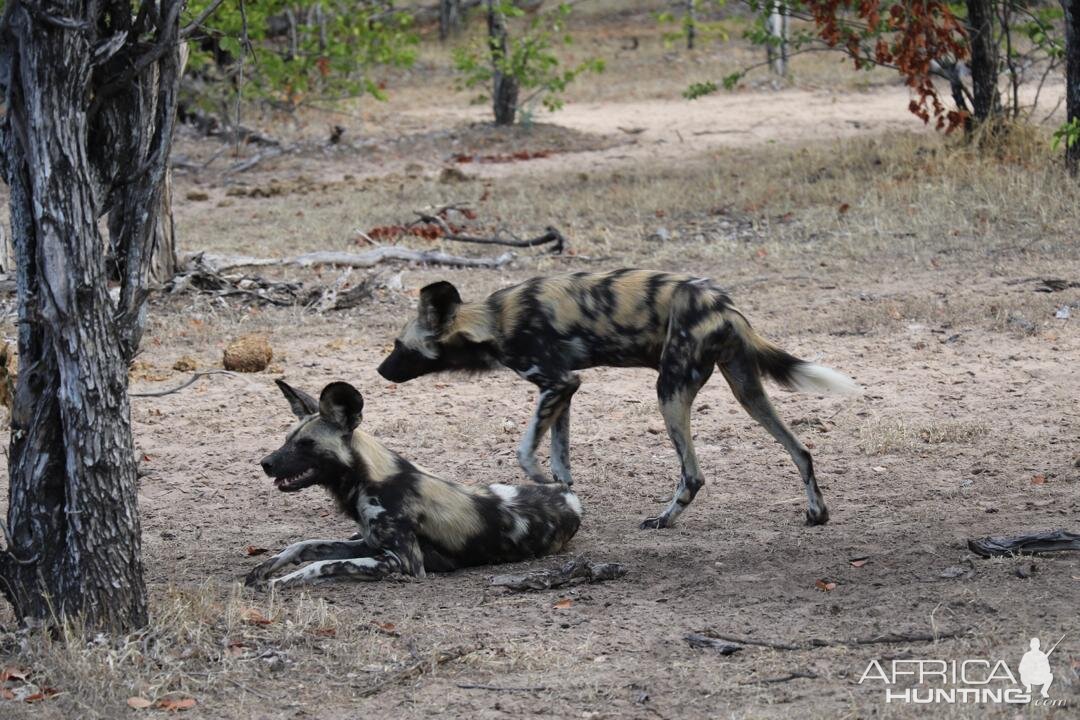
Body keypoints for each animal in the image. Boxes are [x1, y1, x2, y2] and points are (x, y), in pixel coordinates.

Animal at [247, 379, 583, 587]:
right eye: (287, 439)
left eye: (306, 444)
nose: (265, 463)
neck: (368, 482)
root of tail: (567, 494)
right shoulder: (368, 542)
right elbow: (303, 545)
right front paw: (264, 569)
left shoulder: (403, 562)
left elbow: (322, 565)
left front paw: (280, 582)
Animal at [380, 268, 859, 528]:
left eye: (399, 346)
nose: (380, 370)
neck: (495, 321)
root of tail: (723, 306)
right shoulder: (563, 390)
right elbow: (561, 458)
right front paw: (561, 494)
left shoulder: (557, 383)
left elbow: (525, 451)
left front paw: (538, 479)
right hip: (747, 390)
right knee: (800, 450)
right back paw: (817, 513)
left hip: (669, 392)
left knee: (693, 475)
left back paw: (663, 520)